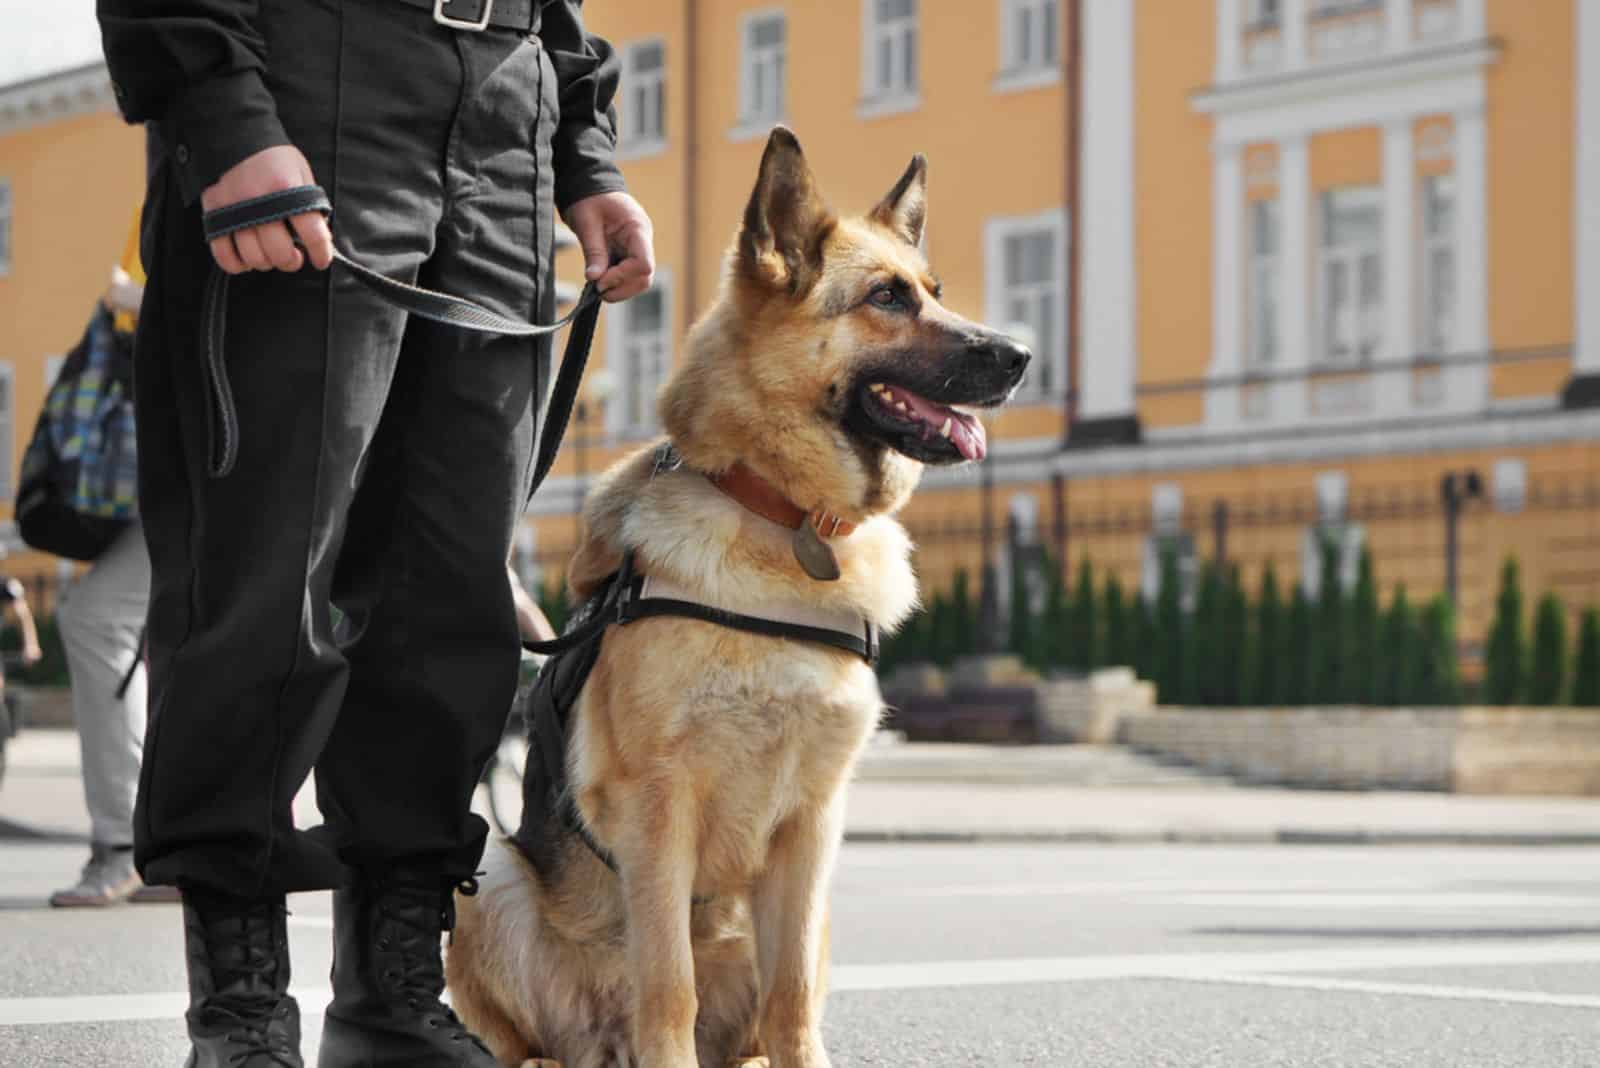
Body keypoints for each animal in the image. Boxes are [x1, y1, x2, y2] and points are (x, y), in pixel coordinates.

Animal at [448, 127, 1024, 1068]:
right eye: (887, 299)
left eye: (933, 293)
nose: (1022, 357)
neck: (785, 521)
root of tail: (596, 1049)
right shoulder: (658, 812)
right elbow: (667, 987)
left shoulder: (813, 828)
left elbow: (791, 1001)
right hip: (489, 873)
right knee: (529, 1032)